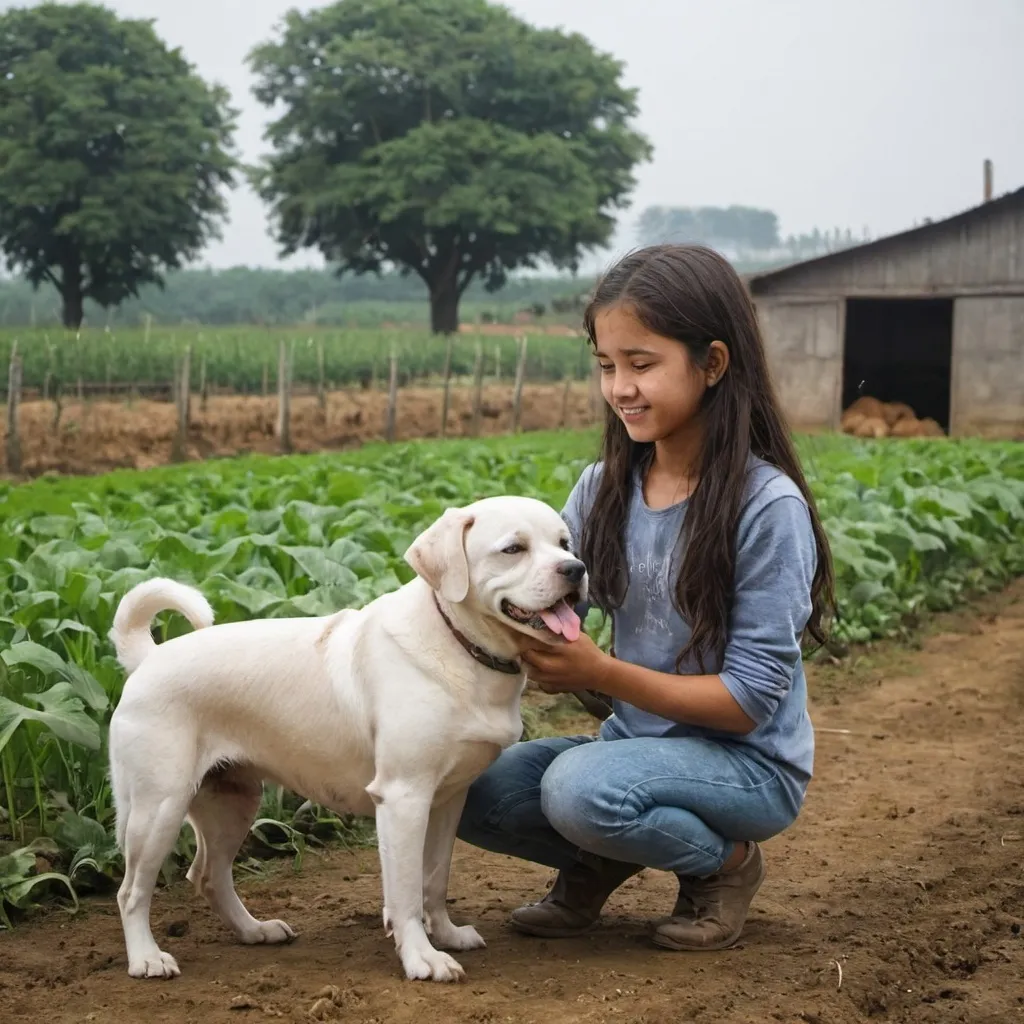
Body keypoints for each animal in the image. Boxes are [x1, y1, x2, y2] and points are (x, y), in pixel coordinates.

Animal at [108, 495, 589, 983]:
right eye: (514, 549)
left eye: (564, 543)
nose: (576, 569)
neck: (459, 644)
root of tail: (148, 656)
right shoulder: (403, 797)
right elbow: (406, 893)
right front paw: (423, 958)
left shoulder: (449, 798)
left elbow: (435, 879)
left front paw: (448, 935)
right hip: (159, 807)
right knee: (131, 893)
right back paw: (147, 958)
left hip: (233, 799)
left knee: (208, 876)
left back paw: (255, 930)